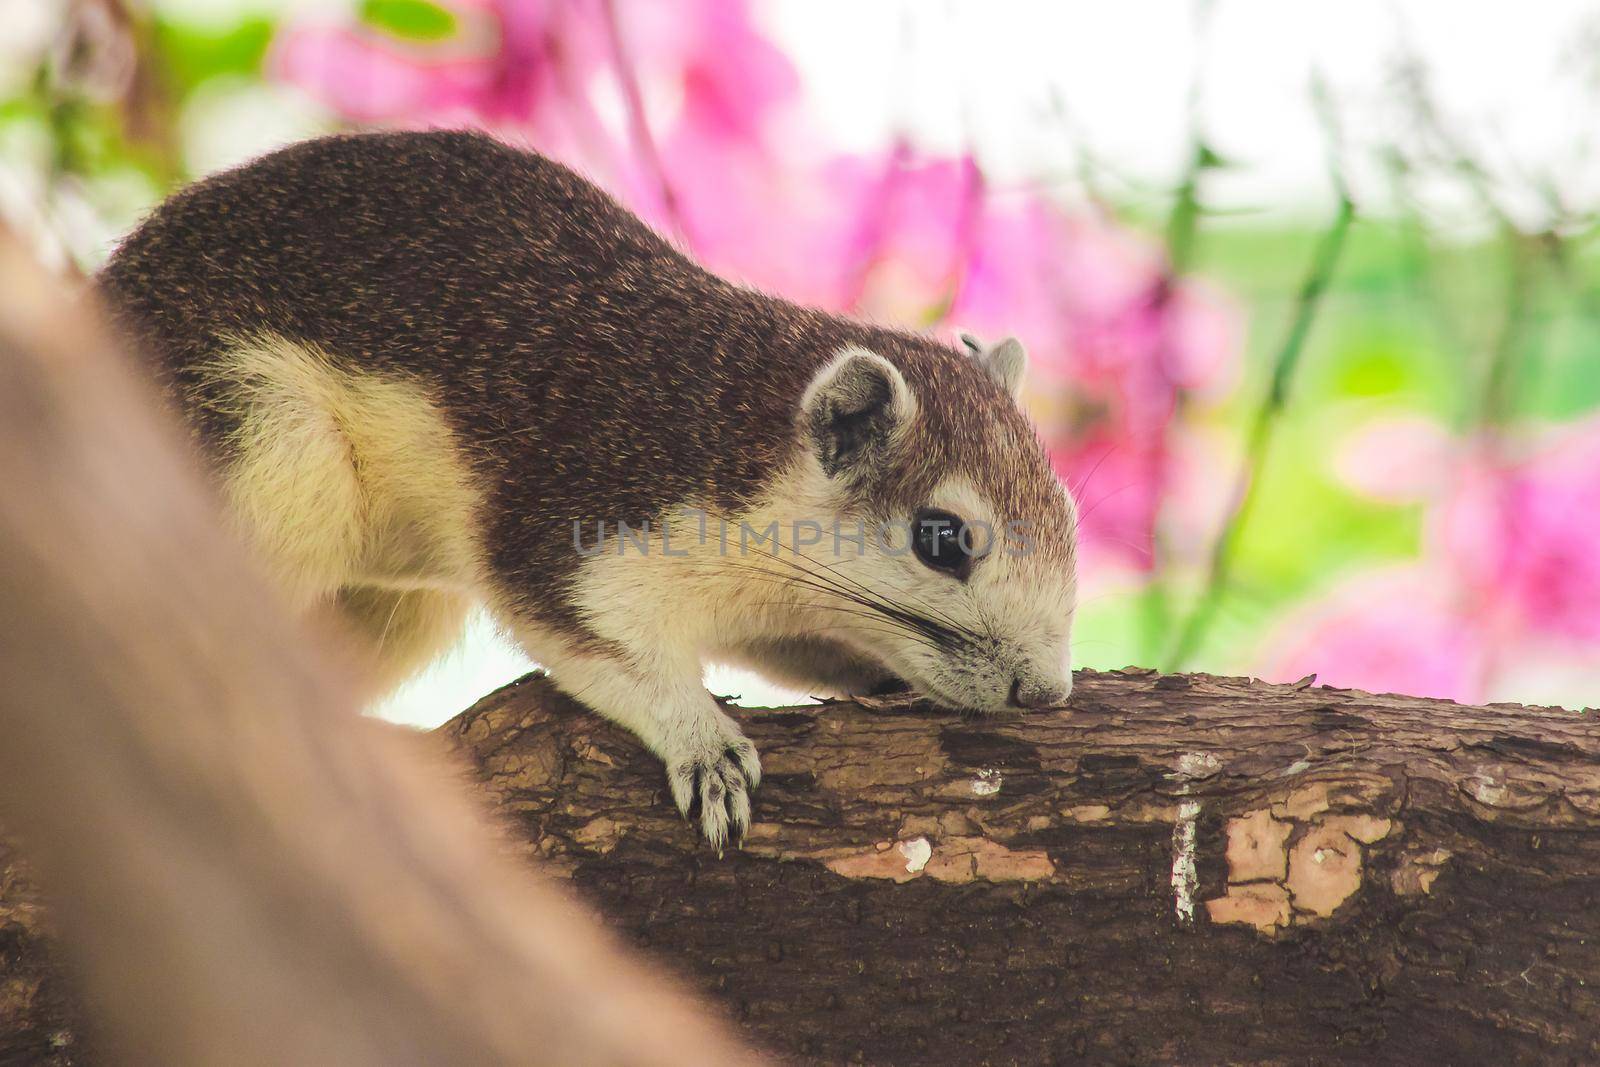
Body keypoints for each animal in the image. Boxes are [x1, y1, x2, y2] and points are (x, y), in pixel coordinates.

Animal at [96, 131, 1075, 851]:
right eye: (943, 538)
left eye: (1068, 514)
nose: (1047, 693)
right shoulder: (576, 524)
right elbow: (613, 654)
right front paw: (705, 745)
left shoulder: (773, 606)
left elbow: (794, 652)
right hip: (264, 444)